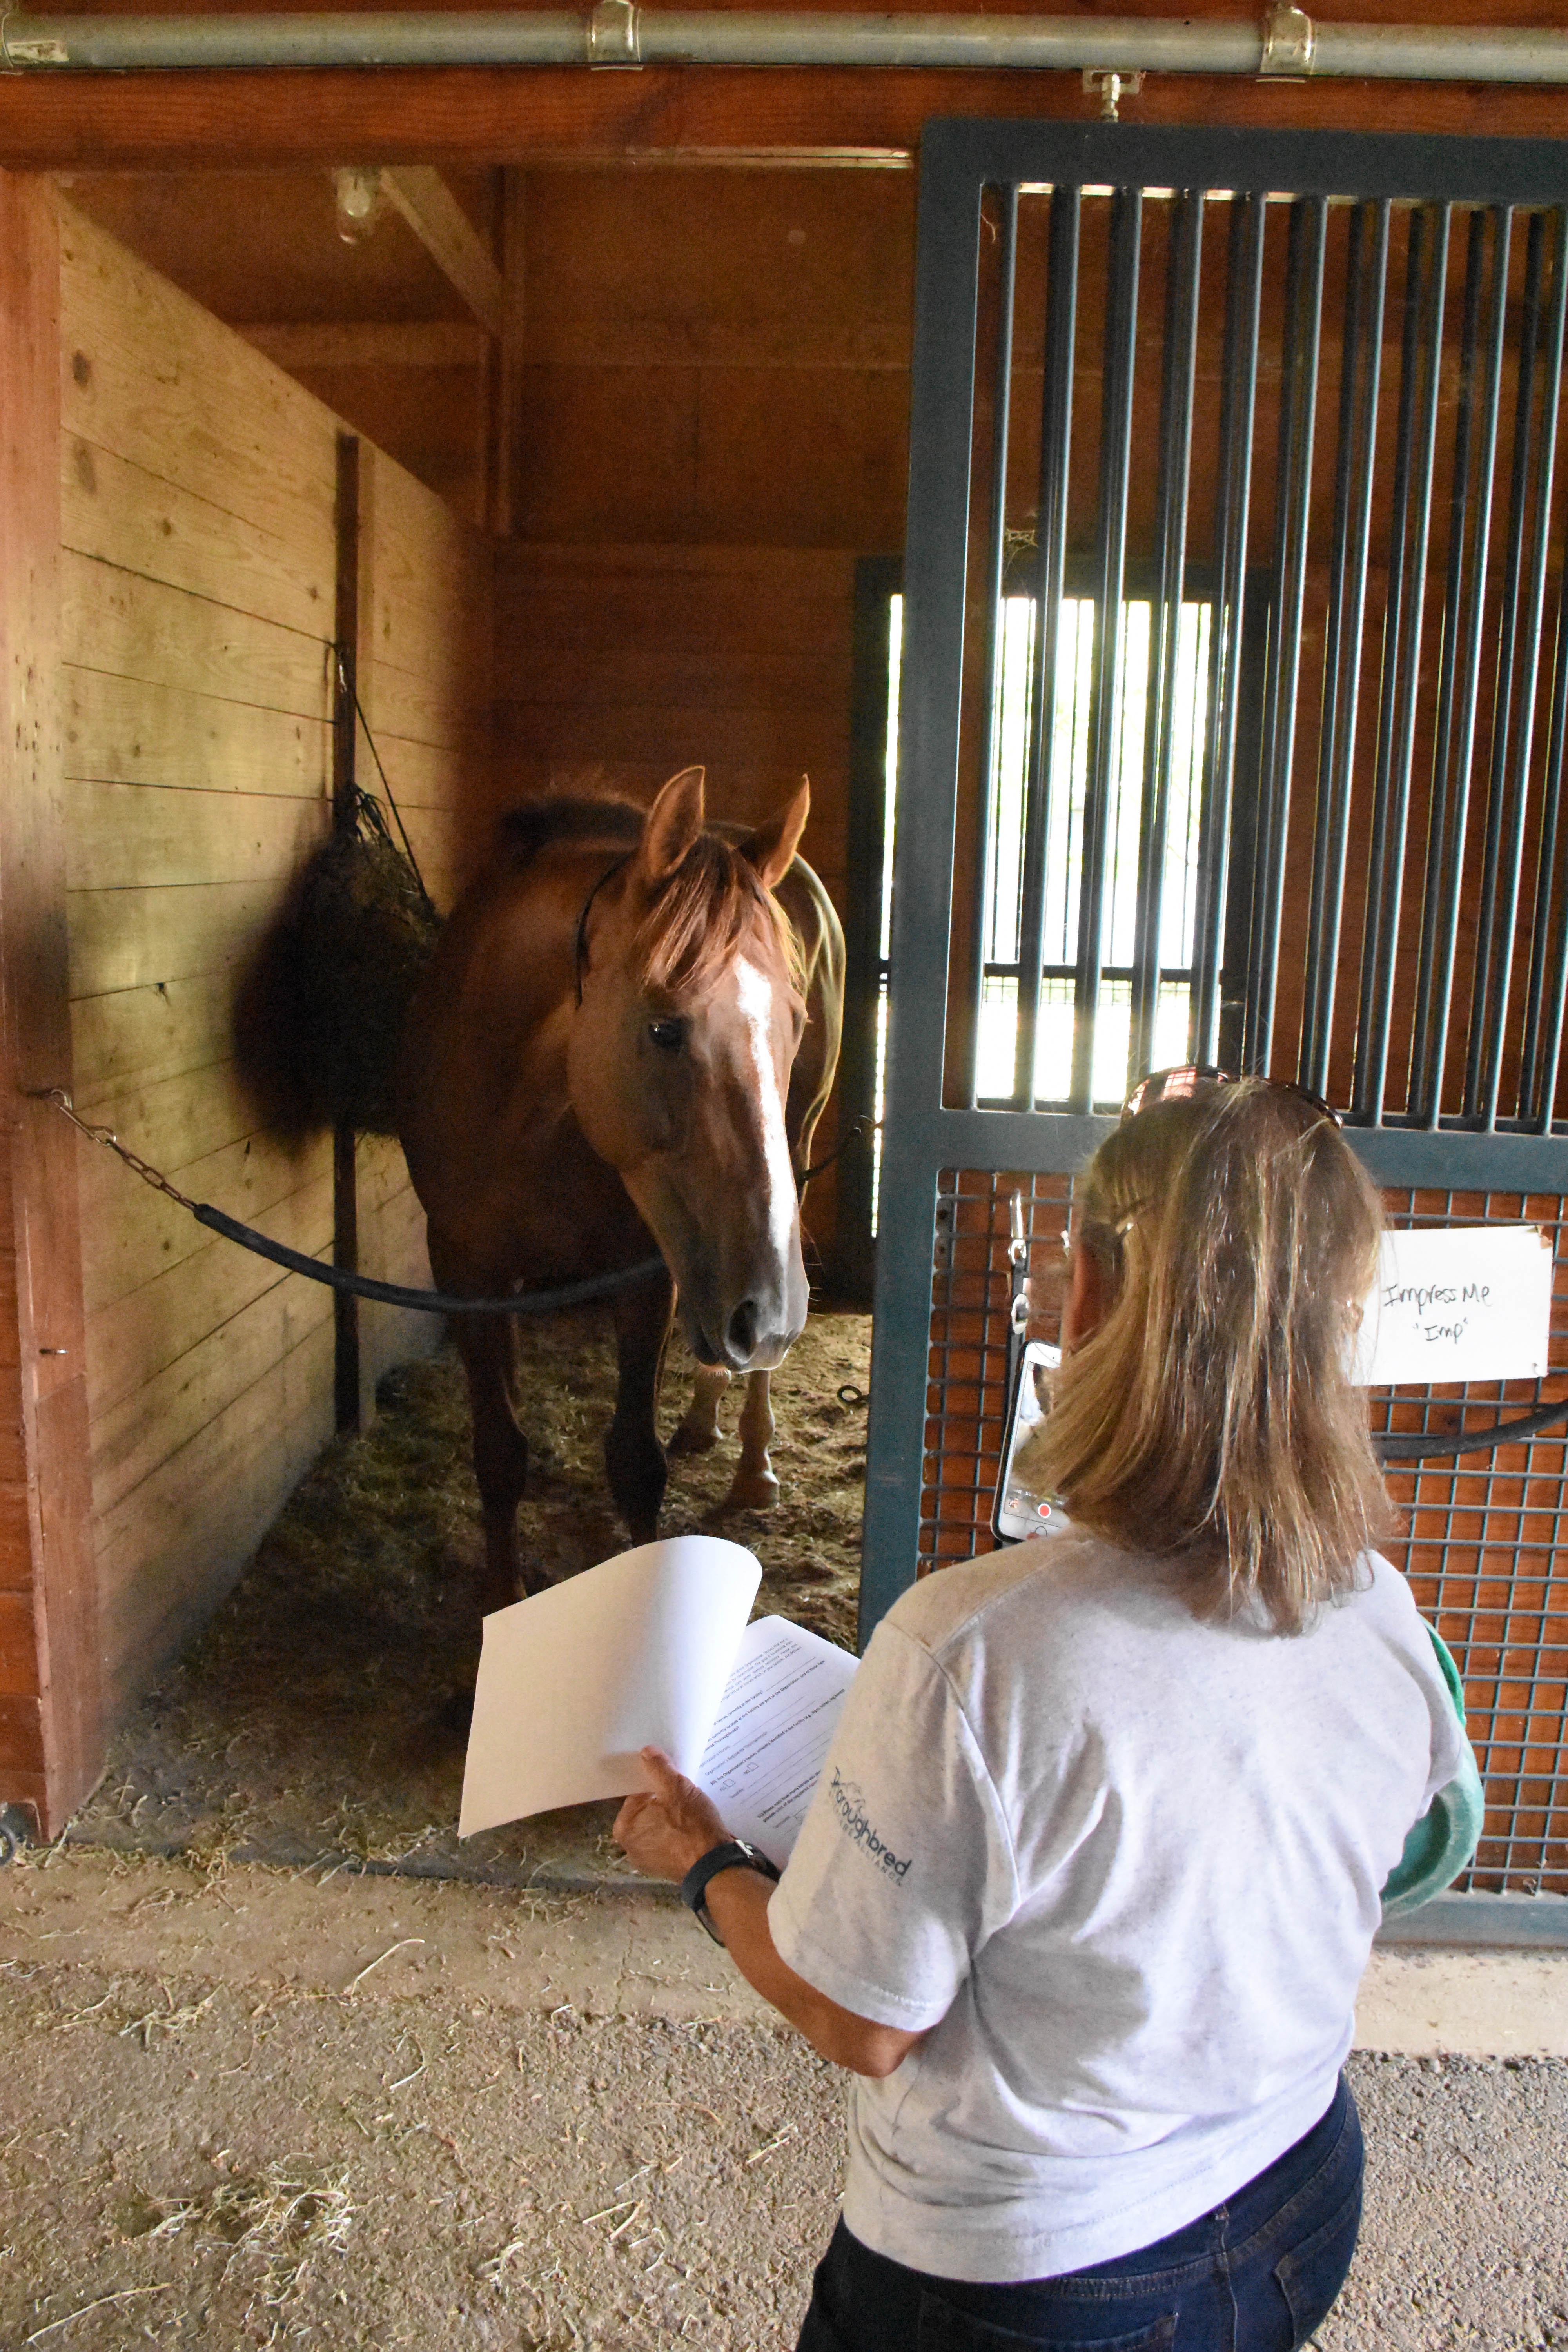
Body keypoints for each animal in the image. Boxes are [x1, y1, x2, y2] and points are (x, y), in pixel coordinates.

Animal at [402, 771, 846, 1618]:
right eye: (664, 1028)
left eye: (795, 1020)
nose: (767, 1317)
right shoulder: (466, 1268)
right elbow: (499, 1449)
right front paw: (504, 1601)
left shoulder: (648, 1275)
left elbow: (635, 1464)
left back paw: (752, 1462)